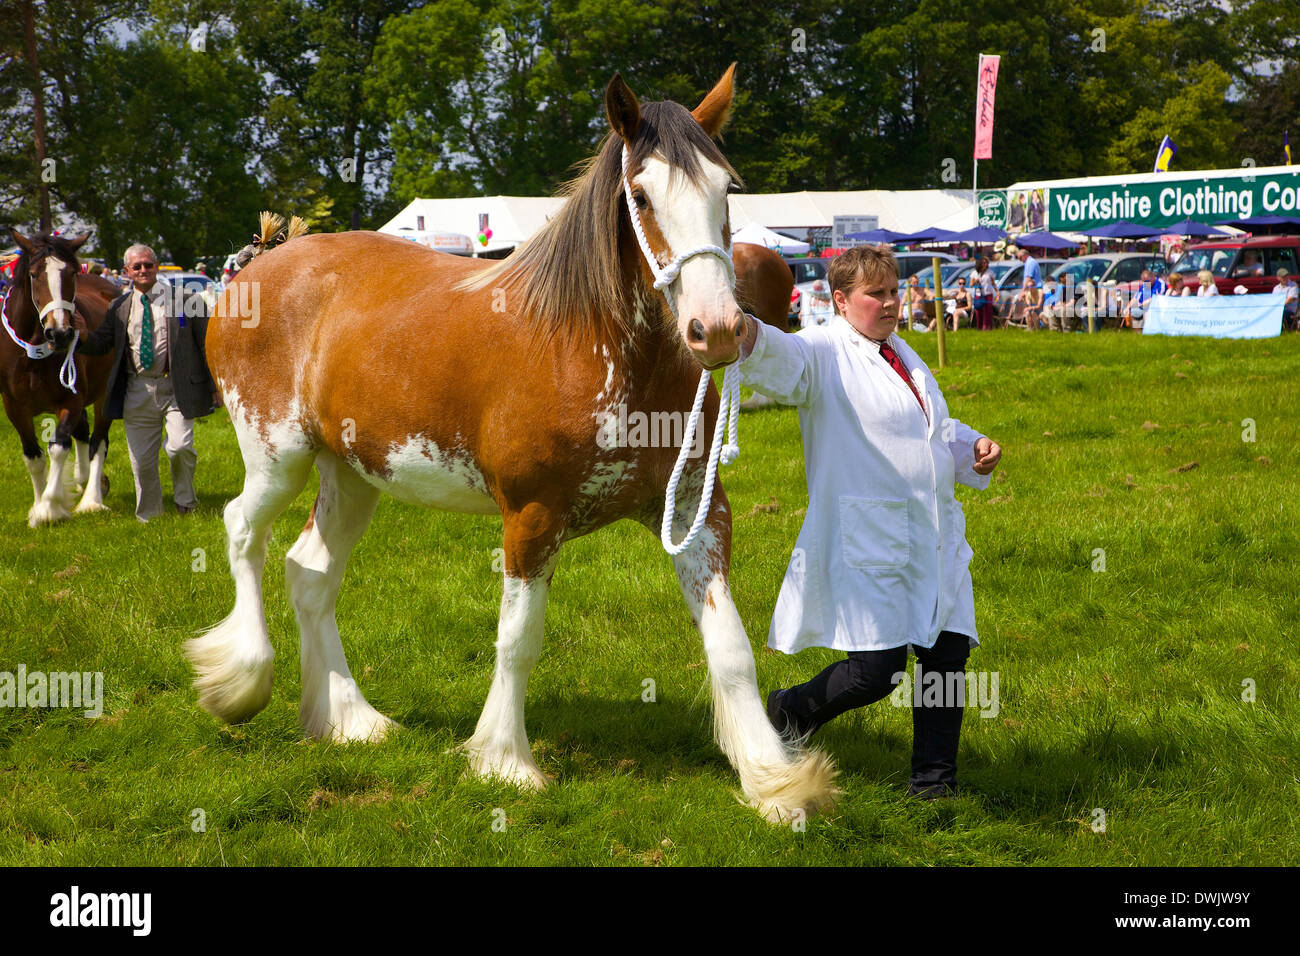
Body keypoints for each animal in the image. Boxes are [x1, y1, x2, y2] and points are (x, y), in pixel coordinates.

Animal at [1, 231, 116, 527]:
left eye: (72, 273)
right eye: (34, 275)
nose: (60, 333)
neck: (32, 353)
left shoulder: (70, 401)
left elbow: (58, 448)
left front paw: (49, 508)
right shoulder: (14, 407)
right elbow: (33, 457)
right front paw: (37, 505)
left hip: (105, 395)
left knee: (98, 441)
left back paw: (92, 499)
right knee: (84, 435)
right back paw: (83, 480)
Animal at [187, 66, 837, 822]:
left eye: (724, 189)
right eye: (642, 194)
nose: (720, 329)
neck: (594, 348)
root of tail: (252, 271)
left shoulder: (694, 514)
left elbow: (730, 646)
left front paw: (772, 778)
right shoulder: (530, 518)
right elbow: (519, 639)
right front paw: (505, 761)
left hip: (352, 476)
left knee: (310, 572)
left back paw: (350, 718)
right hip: (277, 460)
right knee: (241, 529)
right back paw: (241, 679)